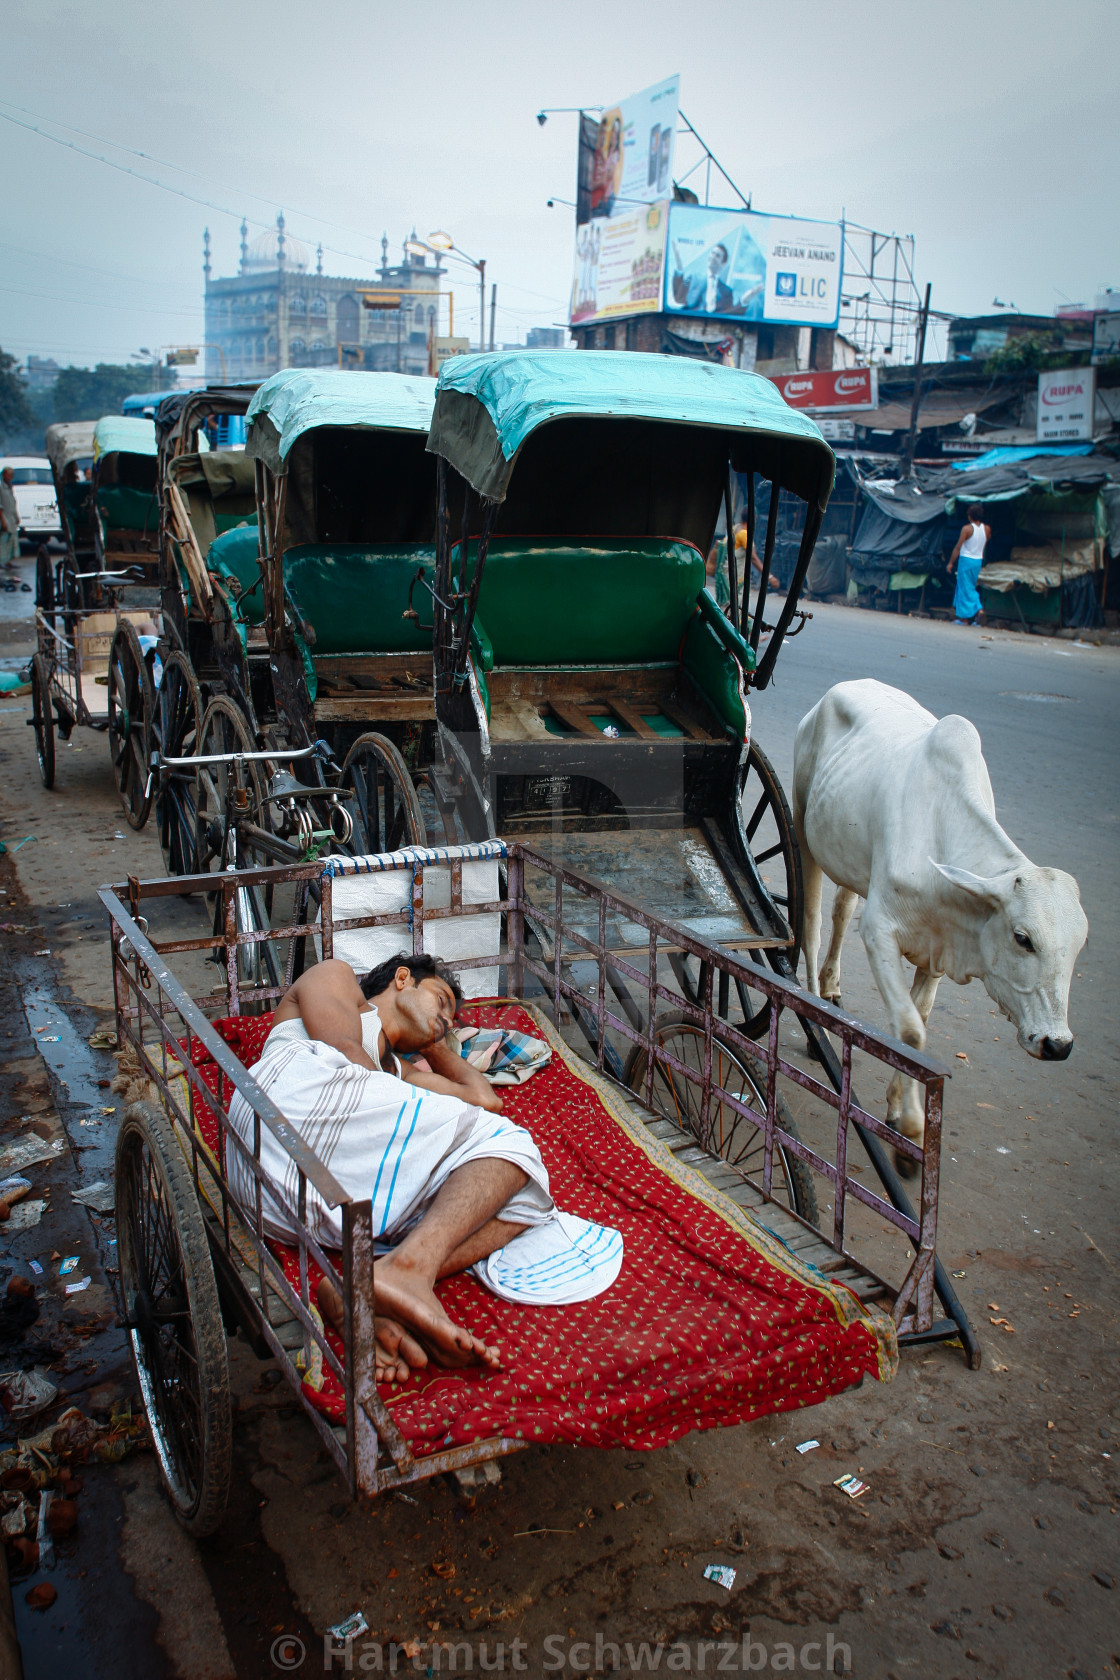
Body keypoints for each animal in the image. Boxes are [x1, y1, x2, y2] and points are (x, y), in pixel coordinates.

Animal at [792, 675, 1088, 1176]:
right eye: (1023, 938)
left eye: (1078, 948)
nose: (1057, 1044)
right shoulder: (881, 934)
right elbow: (912, 1029)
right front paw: (911, 1131)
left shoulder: (942, 946)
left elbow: (918, 1026)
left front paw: (898, 1114)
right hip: (802, 830)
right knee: (810, 924)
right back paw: (818, 1011)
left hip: (846, 851)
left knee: (842, 908)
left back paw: (832, 987)